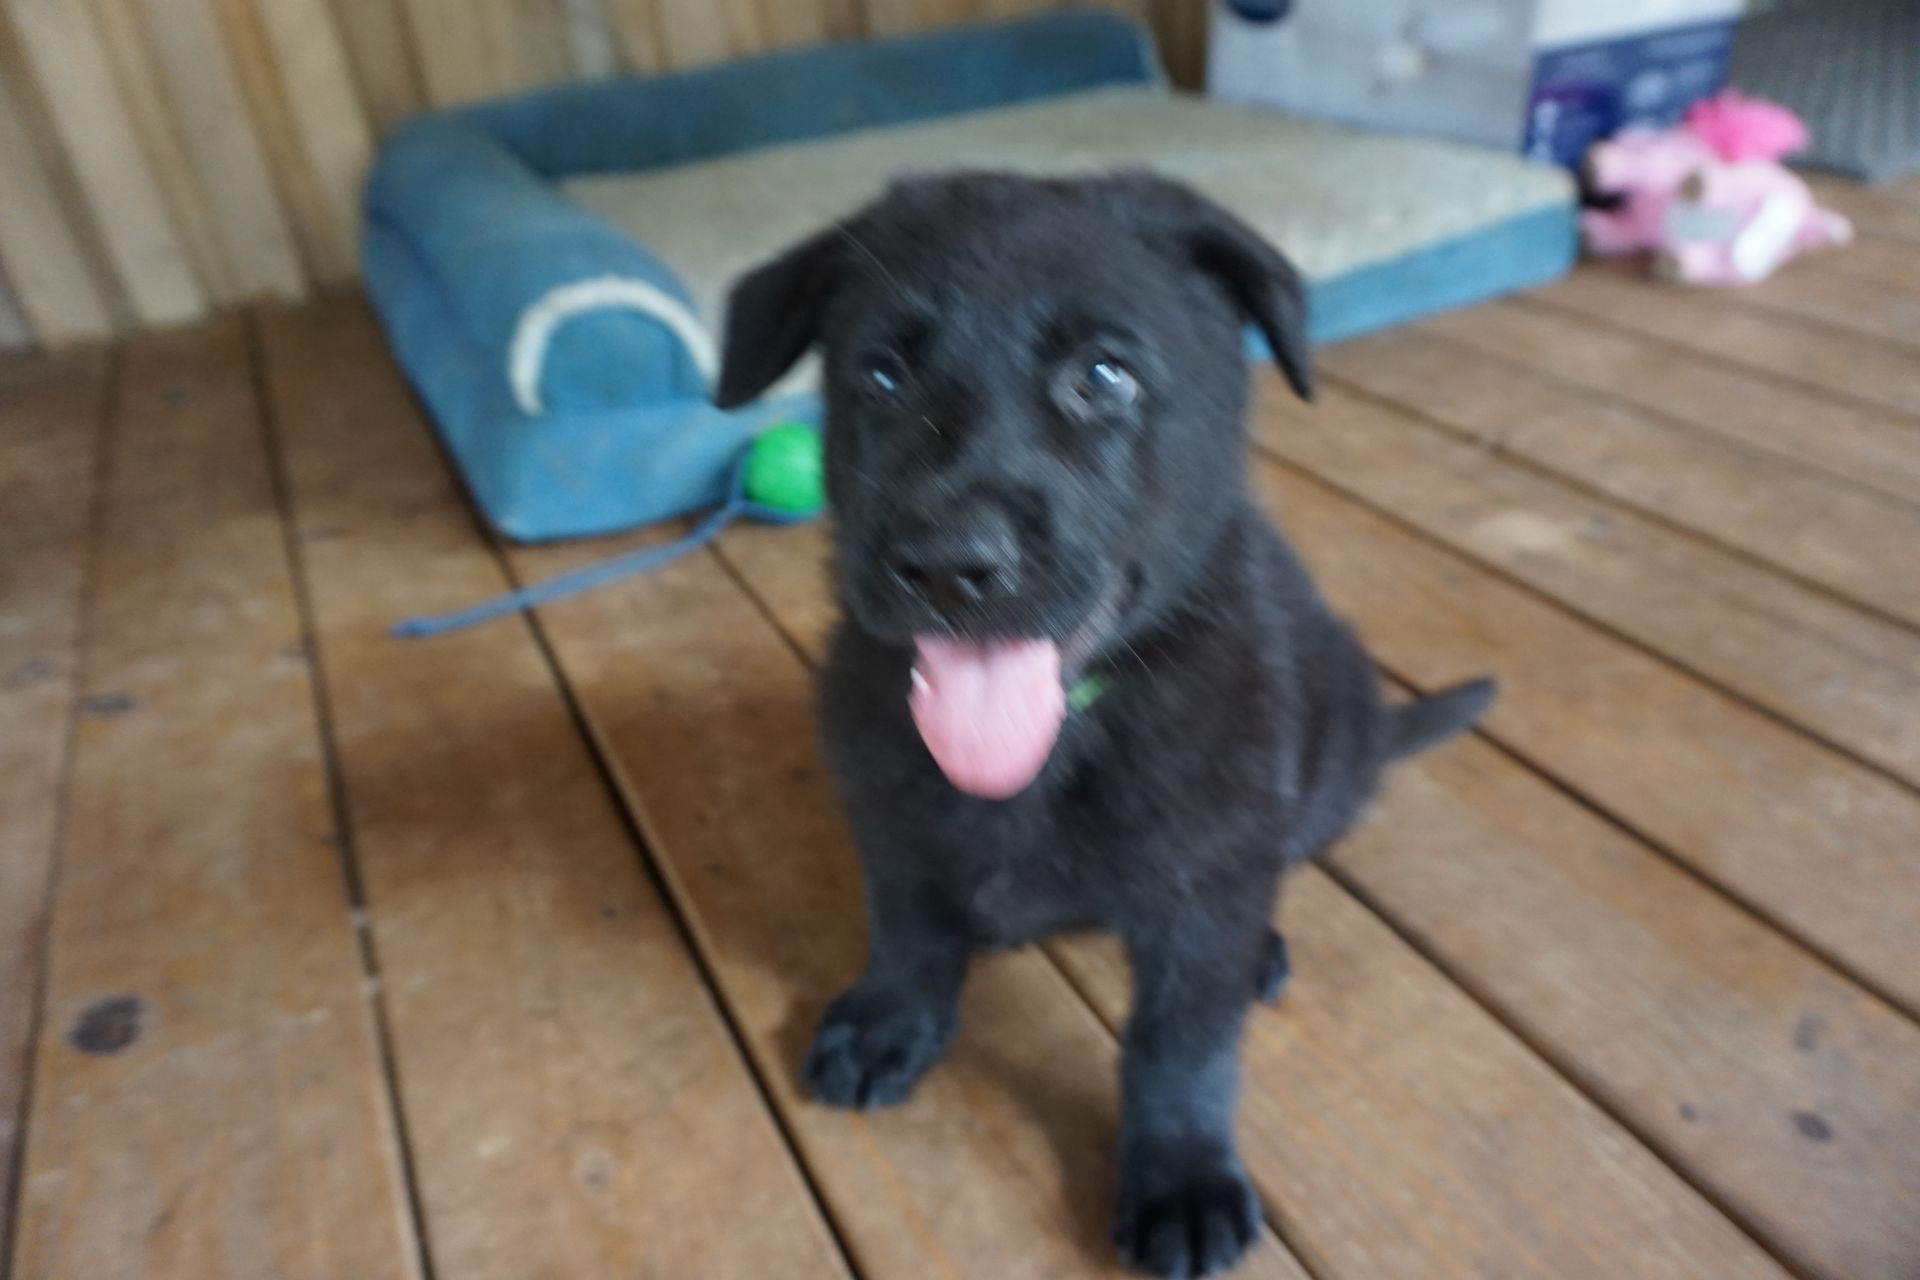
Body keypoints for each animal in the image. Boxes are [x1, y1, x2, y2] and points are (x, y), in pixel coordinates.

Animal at [714, 172, 1489, 1280]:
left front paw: (1180, 1172)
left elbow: (1180, 1038)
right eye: (882, 376)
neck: (1049, 750)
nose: (949, 564)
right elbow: (907, 928)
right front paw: (890, 1018)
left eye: (1104, 376)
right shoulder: (891, 822)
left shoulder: (1204, 882)